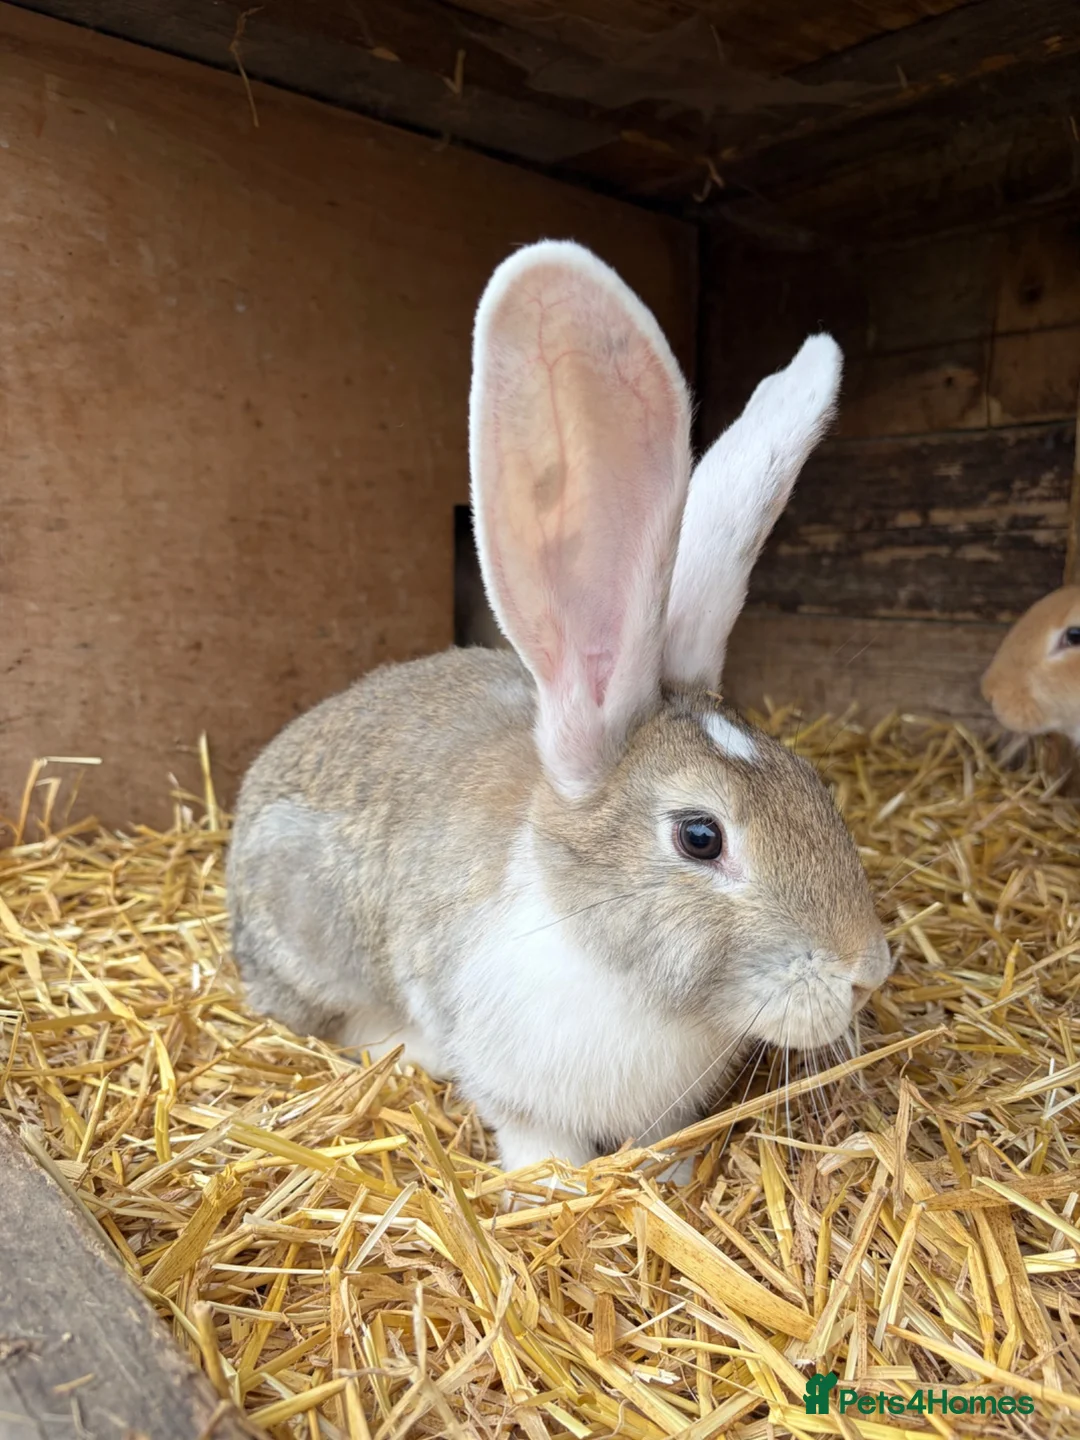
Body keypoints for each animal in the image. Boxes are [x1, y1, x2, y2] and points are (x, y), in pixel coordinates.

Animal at [227, 241, 893, 1173]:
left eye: (813, 782)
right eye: (700, 837)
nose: (868, 970)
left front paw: (667, 1170)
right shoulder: (518, 1086)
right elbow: (537, 1140)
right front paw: (554, 1184)